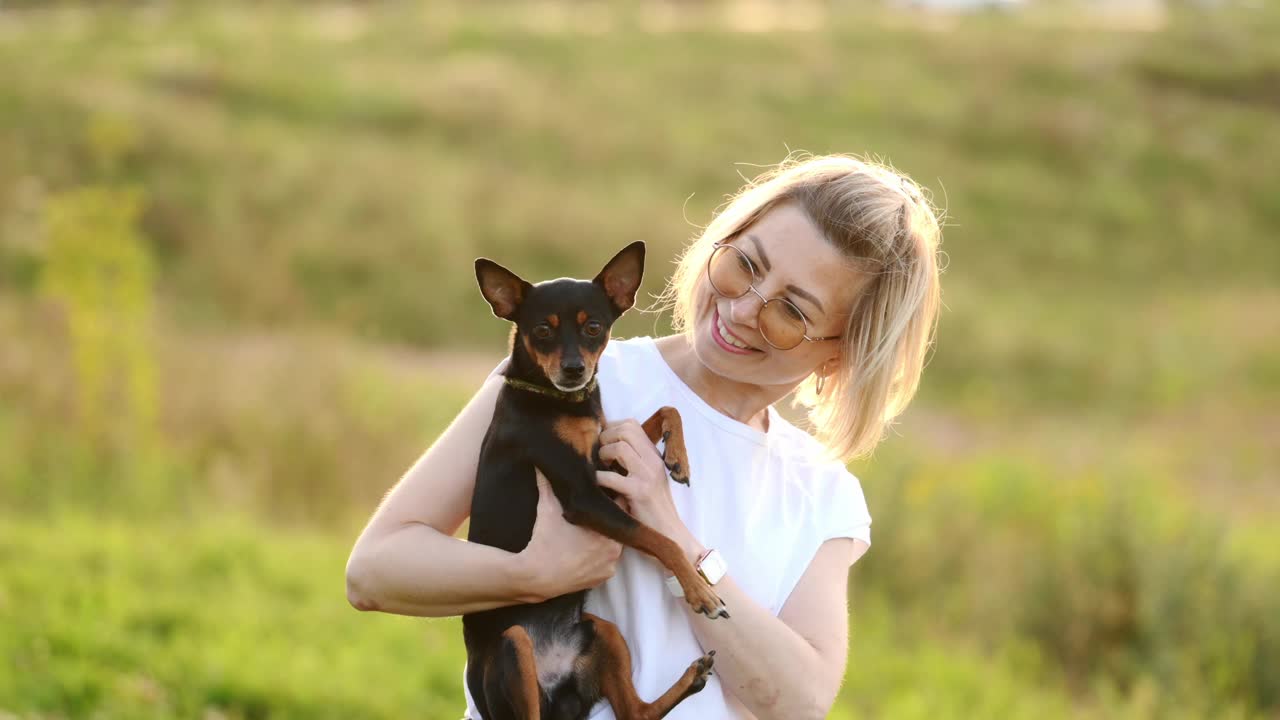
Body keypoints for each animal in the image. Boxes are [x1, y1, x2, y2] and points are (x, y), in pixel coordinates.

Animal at [468, 240, 732, 717]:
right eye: (542, 331)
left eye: (593, 327)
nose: (575, 370)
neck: (558, 401)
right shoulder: (585, 497)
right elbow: (662, 541)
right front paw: (701, 594)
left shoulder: (606, 461)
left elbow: (666, 411)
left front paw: (678, 458)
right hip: (513, 648)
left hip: (602, 631)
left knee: (637, 712)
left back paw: (692, 677)